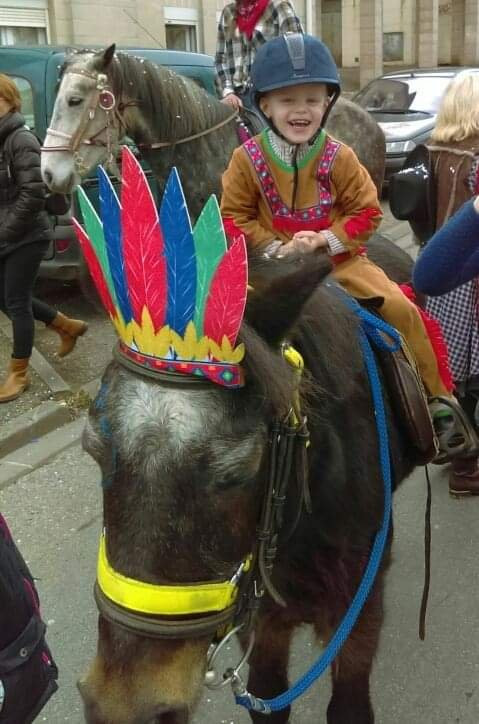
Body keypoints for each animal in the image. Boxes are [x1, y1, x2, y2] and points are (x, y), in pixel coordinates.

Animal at [79, 252, 420, 720]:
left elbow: (348, 707)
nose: (124, 706)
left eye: (236, 472)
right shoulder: (259, 623)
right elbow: (266, 698)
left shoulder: (358, 612)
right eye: (94, 451)